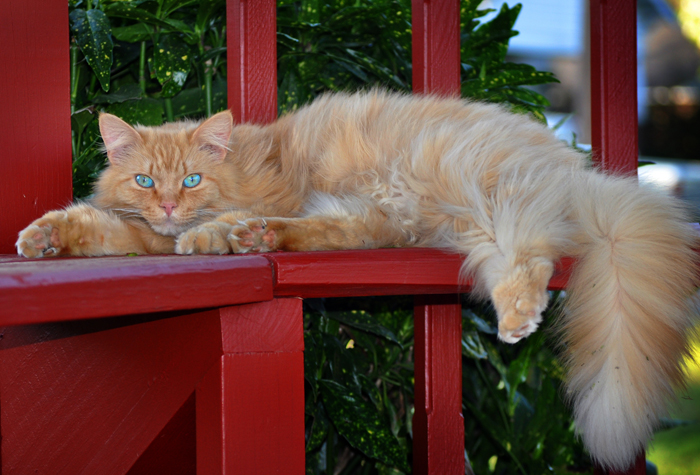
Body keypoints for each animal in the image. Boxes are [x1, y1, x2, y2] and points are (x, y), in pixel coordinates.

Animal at [16, 90, 700, 472]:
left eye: (189, 180)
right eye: (144, 181)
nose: (166, 206)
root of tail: (575, 168)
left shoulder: (245, 202)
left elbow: (205, 226)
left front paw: (211, 234)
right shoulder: (141, 232)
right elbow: (94, 225)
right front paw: (42, 240)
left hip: (467, 188)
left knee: (529, 252)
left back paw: (516, 318)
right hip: (426, 219)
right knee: (352, 232)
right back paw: (264, 238)